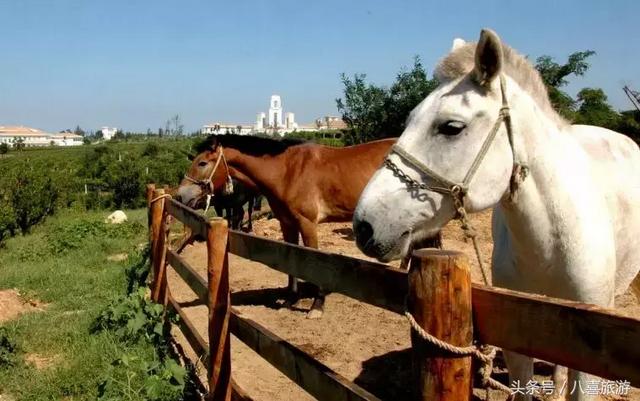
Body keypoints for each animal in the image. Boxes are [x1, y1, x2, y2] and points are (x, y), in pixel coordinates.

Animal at [176, 134, 440, 316]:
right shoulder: (288, 224)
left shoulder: (308, 224)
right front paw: (290, 299)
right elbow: (291, 260)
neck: (287, 171)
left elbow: (313, 260)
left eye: (202, 163)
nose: (180, 195)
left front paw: (317, 305)